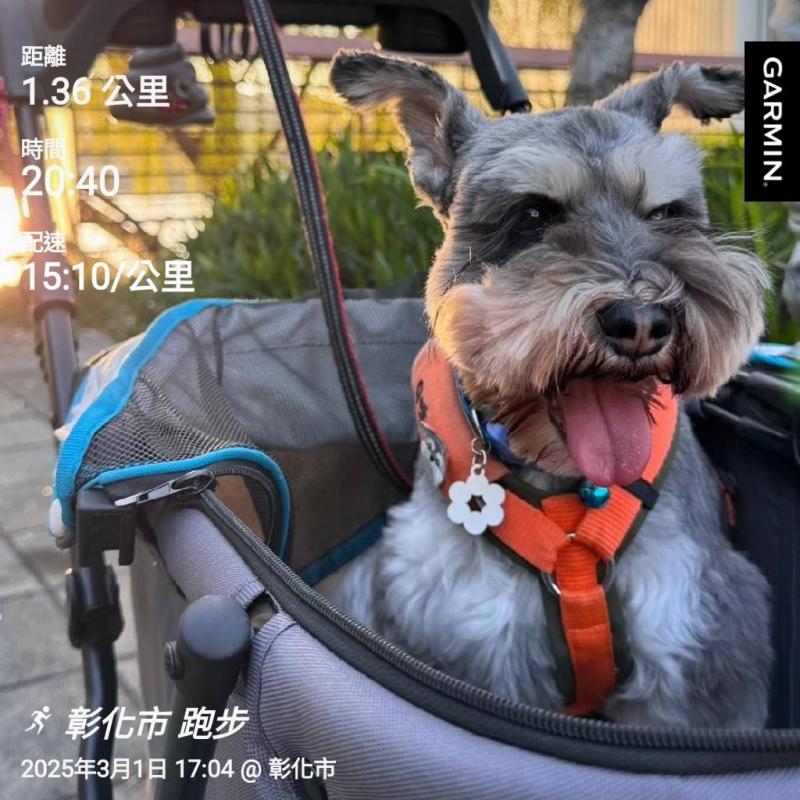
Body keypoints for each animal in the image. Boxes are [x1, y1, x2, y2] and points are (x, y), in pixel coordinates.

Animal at [323, 51, 773, 728]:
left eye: (665, 213)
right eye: (532, 215)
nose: (642, 322)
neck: (568, 488)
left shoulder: (696, 646)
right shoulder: (482, 647)